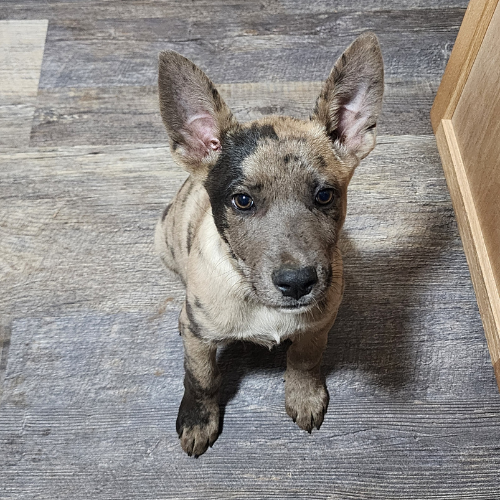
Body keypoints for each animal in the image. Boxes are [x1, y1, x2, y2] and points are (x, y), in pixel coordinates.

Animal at [154, 32, 384, 458]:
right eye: (242, 201)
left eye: (325, 196)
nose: (297, 283)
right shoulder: (201, 344)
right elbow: (201, 376)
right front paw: (197, 419)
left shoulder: (320, 321)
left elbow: (306, 357)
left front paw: (304, 396)